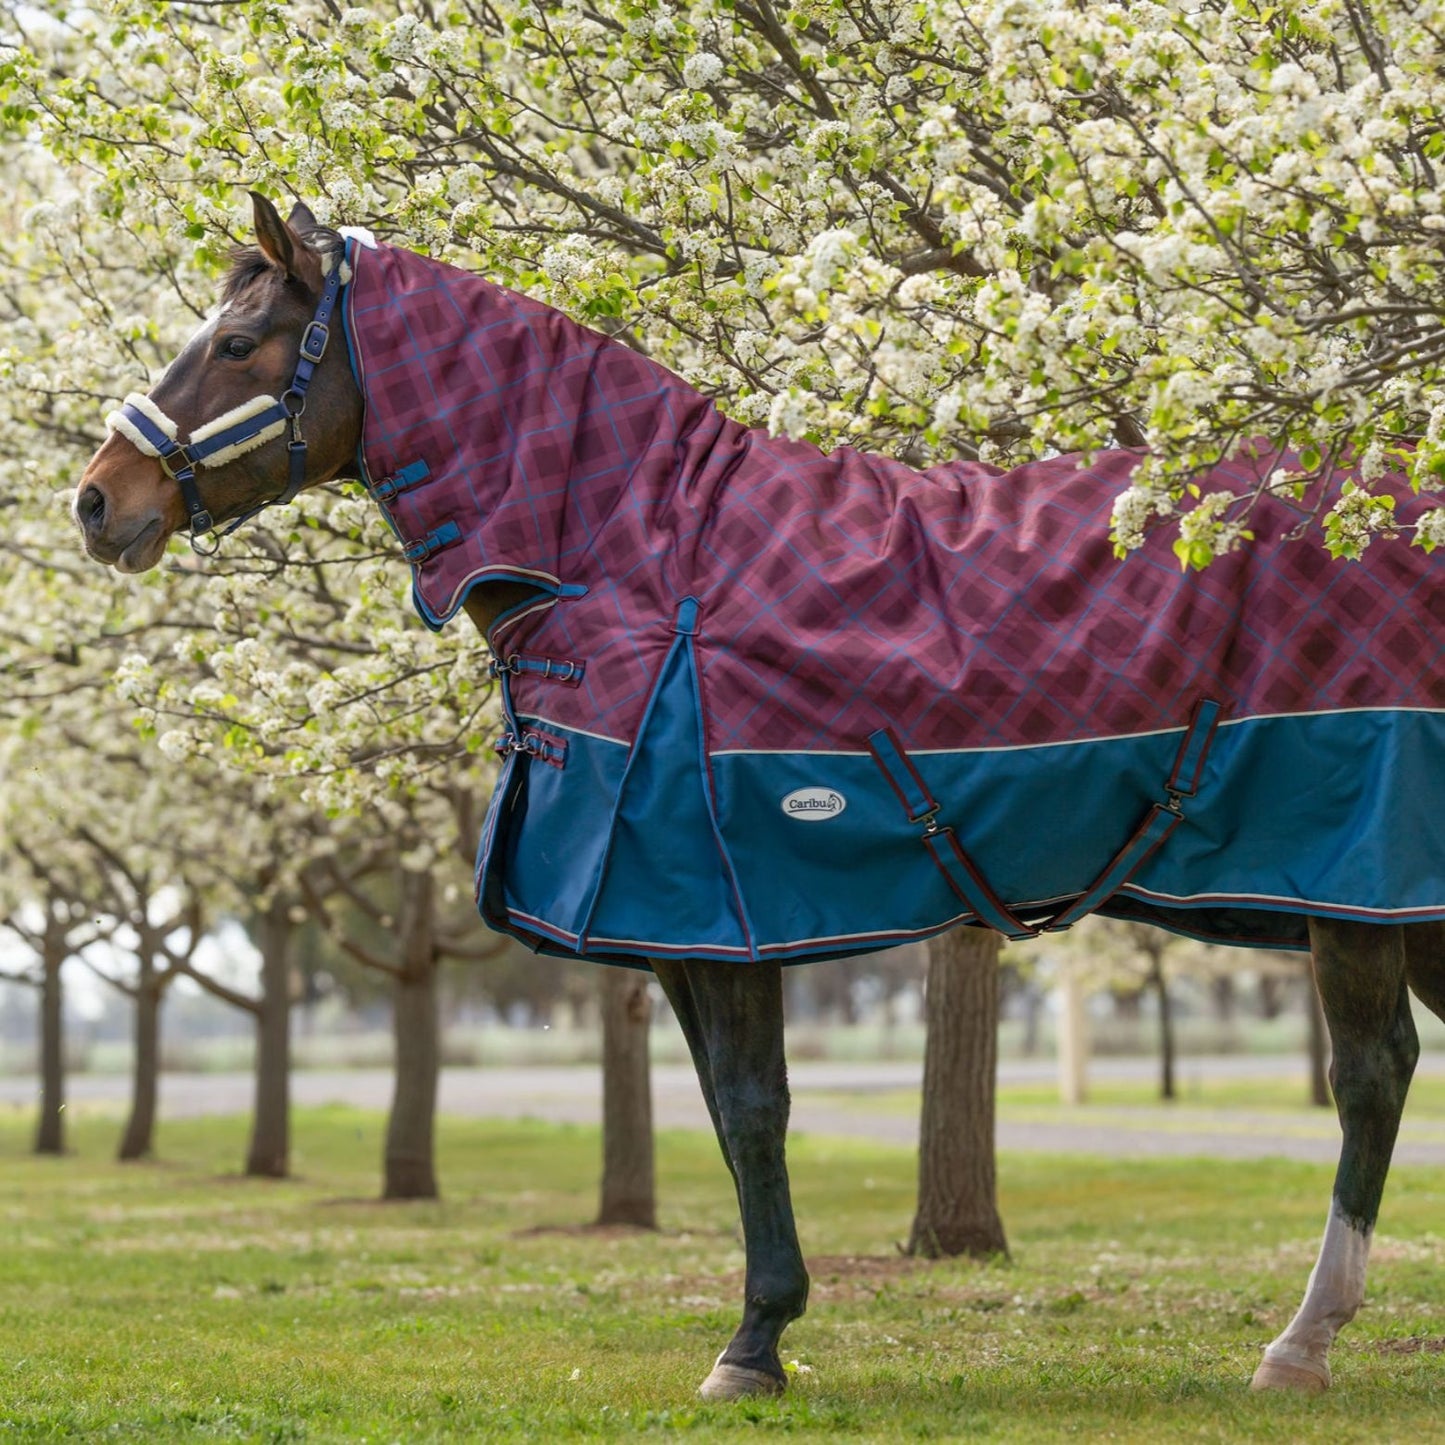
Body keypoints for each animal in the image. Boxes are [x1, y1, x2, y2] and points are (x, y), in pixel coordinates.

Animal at [74, 191, 1445, 1399]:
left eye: (237, 342)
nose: (97, 499)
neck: (638, 560)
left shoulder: (711, 914)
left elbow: (749, 1110)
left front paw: (753, 1342)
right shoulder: (677, 931)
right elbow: (734, 1114)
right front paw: (763, 1330)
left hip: (1361, 889)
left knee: (1370, 1073)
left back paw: (1300, 1341)